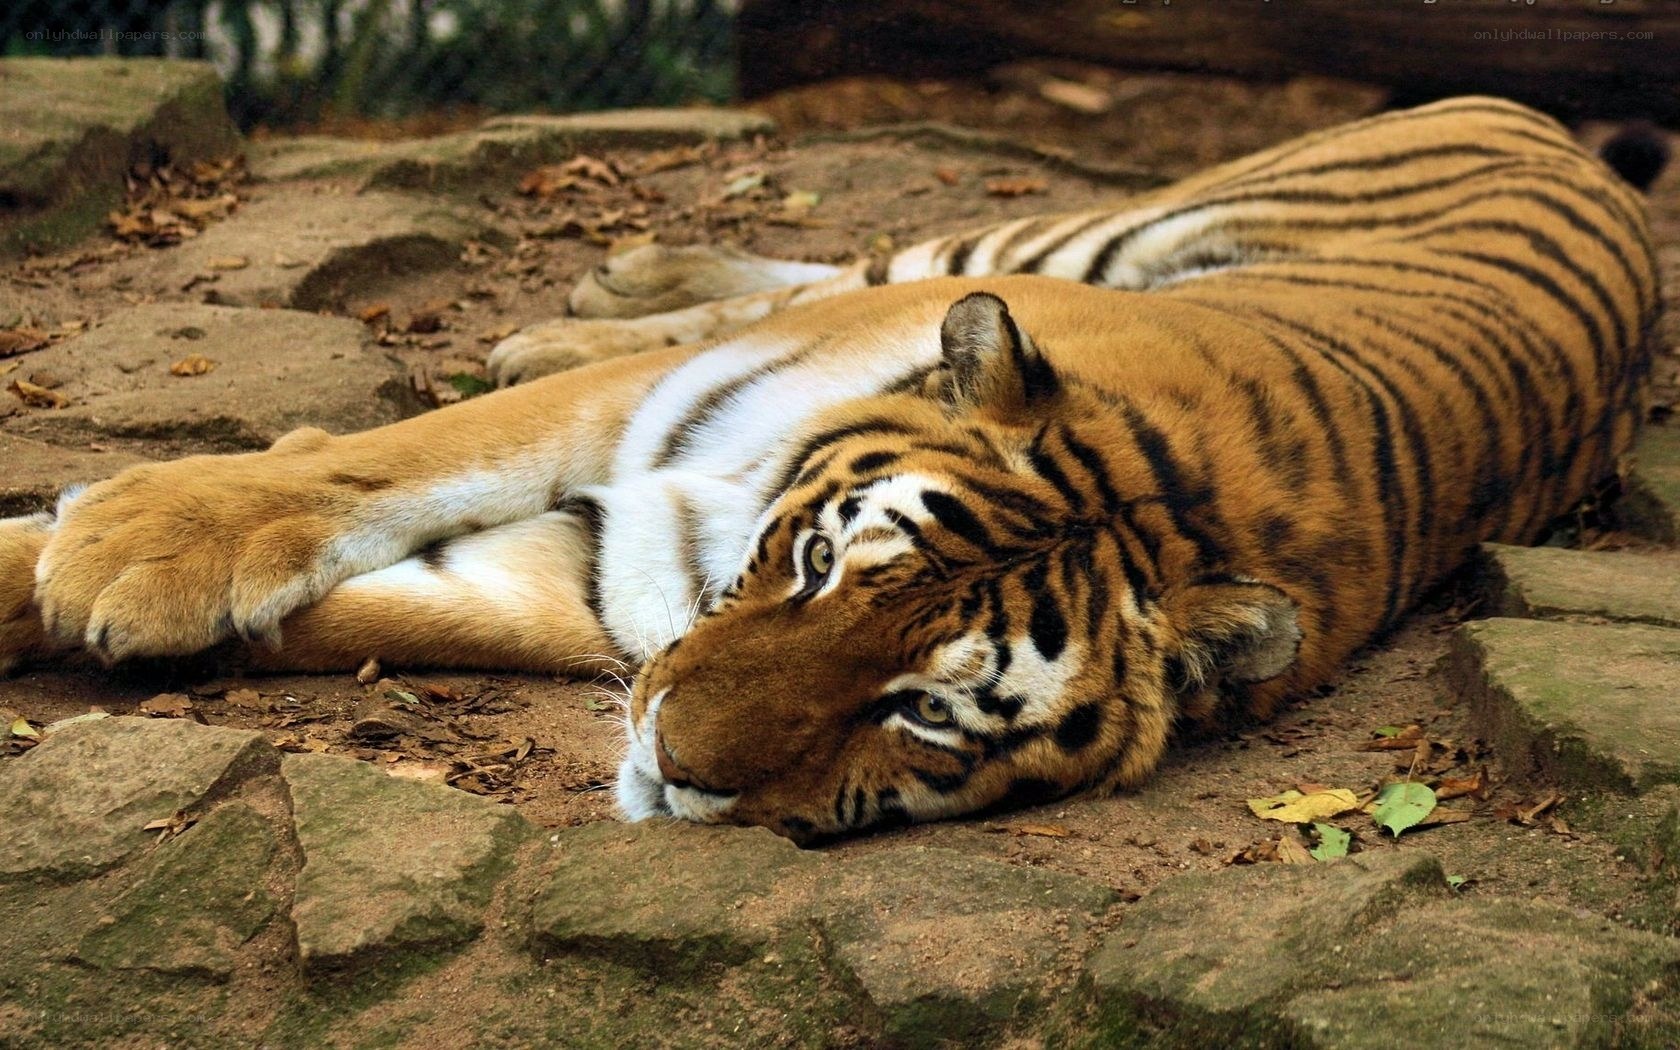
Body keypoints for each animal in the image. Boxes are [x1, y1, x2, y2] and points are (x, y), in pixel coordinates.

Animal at [0, 97, 1663, 842]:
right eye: (816, 566)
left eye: (921, 708)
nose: (673, 765)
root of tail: (1546, 120)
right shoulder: (638, 437)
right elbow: (394, 457)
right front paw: (135, 538)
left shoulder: (598, 578)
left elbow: (389, 600)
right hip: (1033, 237)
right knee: (853, 256)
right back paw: (582, 299)